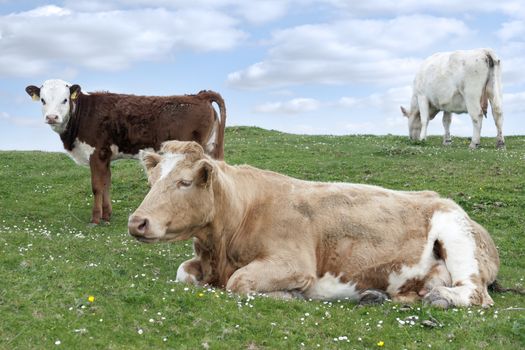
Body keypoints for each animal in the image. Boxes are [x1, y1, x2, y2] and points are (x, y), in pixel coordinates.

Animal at [25, 78, 225, 224]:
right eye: (43, 100)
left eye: (65, 99)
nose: (52, 117)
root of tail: (199, 96)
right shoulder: (105, 156)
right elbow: (106, 183)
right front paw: (107, 216)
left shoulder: (96, 153)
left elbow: (96, 186)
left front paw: (95, 219)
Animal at [129, 141, 498, 308]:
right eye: (152, 180)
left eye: (185, 182)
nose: (137, 222)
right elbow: (183, 272)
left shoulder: (294, 263)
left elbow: (239, 282)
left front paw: (290, 295)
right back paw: (381, 295)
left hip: (457, 236)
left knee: (475, 292)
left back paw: (440, 297)